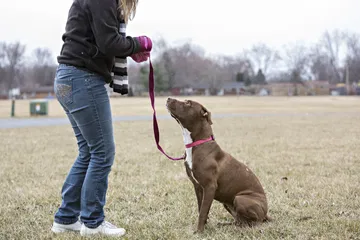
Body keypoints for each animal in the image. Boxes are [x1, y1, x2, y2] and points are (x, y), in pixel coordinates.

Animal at [166, 97, 270, 232]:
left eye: (188, 103)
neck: (198, 144)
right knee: (239, 220)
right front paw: (204, 227)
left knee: (254, 222)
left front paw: (199, 232)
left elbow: (203, 212)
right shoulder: (198, 187)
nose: (168, 98)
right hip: (227, 203)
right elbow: (201, 209)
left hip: (240, 199)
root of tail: (266, 213)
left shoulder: (209, 187)